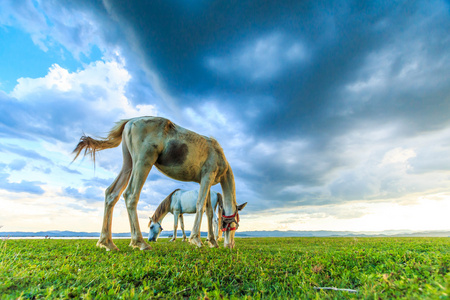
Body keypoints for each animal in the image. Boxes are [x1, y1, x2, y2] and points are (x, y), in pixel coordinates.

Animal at [73, 116, 246, 251]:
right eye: (235, 224)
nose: (230, 245)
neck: (218, 154)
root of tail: (130, 121)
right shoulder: (207, 177)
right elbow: (200, 205)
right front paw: (196, 240)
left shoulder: (206, 182)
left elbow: (209, 212)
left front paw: (212, 242)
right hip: (143, 161)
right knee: (130, 194)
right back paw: (140, 242)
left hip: (129, 163)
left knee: (111, 193)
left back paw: (107, 243)